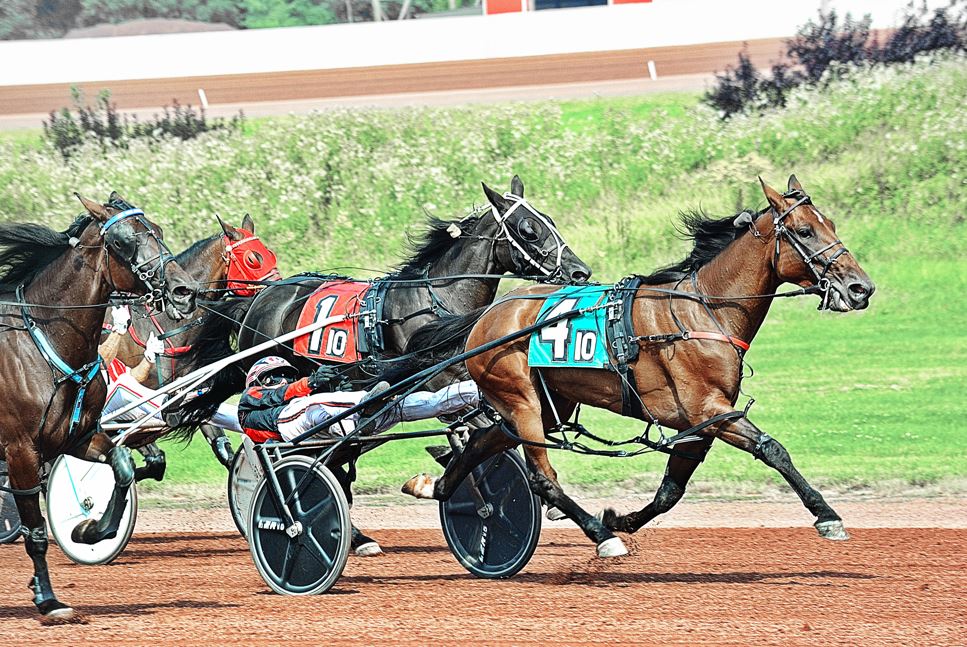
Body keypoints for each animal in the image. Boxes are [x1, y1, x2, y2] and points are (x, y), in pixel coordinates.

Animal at [0, 192, 196, 621]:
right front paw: (48, 599)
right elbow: (35, 532)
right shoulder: (21, 451)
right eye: (123, 242)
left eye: (156, 230)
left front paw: (89, 529)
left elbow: (122, 467)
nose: (183, 290)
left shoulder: (78, 436)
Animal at [177, 176, 592, 554]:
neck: (434, 301)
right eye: (528, 229)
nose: (580, 272)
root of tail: (258, 299)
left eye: (550, 219)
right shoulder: (437, 382)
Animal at [401, 175, 875, 559]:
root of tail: (487, 316)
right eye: (803, 231)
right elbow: (773, 449)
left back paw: (439, 488)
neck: (703, 310)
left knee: (484, 442)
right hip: (521, 401)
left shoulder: (699, 423)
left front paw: (621, 519)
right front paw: (827, 515)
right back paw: (599, 536)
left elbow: (670, 491)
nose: (861, 287)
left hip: (545, 404)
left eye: (831, 225)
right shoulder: (710, 409)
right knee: (541, 477)